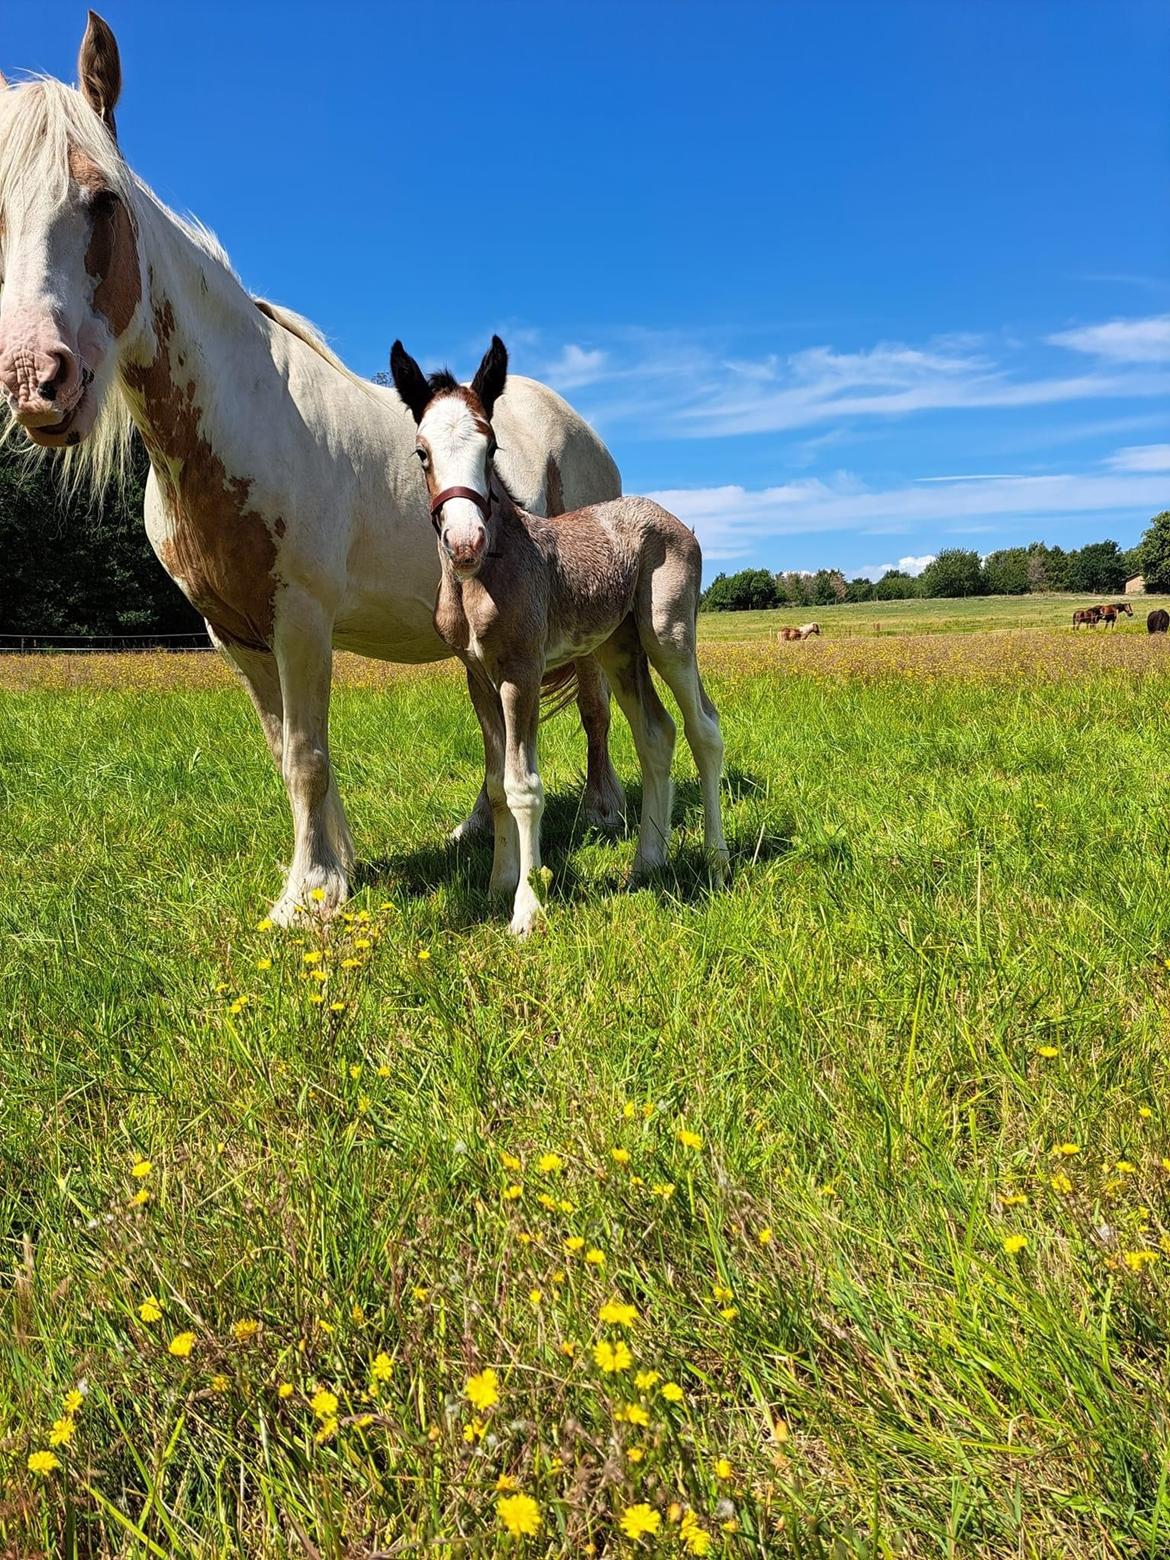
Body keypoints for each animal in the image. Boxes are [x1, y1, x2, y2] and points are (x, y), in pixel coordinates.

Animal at [0, 18, 627, 917]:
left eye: (102, 200)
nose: (35, 381)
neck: (239, 418)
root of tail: (583, 428)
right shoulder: (233, 633)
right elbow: (289, 755)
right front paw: (335, 873)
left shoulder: (300, 617)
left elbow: (306, 756)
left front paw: (305, 900)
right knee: (495, 734)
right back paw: (474, 831)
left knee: (597, 707)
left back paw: (609, 812)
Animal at [390, 335, 730, 929]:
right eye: (422, 452)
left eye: (491, 446)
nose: (465, 543)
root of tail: (674, 520)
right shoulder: (478, 677)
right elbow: (497, 786)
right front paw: (498, 886)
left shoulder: (521, 671)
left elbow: (523, 787)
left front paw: (527, 911)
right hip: (620, 648)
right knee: (655, 733)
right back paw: (647, 862)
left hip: (667, 635)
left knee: (703, 728)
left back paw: (715, 860)